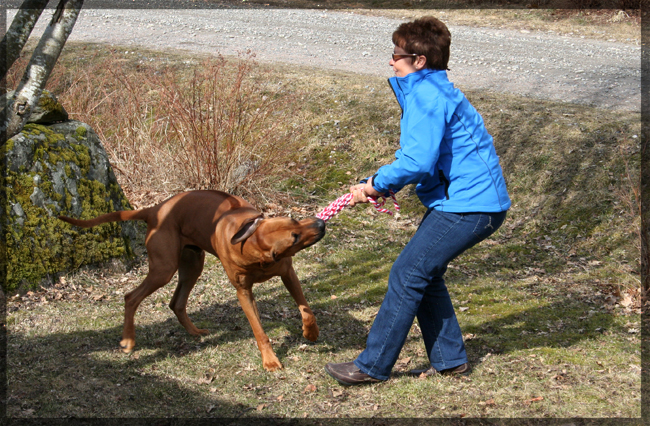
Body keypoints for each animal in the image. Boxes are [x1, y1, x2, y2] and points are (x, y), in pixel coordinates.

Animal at [57, 190, 324, 370]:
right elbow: (259, 331)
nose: (321, 223)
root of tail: (154, 209)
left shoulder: (287, 273)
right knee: (131, 297)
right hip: (164, 269)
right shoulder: (243, 292)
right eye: (294, 236)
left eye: (294, 219)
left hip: (193, 264)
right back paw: (129, 340)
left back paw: (194, 331)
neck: (251, 244)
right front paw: (270, 361)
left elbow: (306, 310)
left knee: (176, 302)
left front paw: (310, 333)